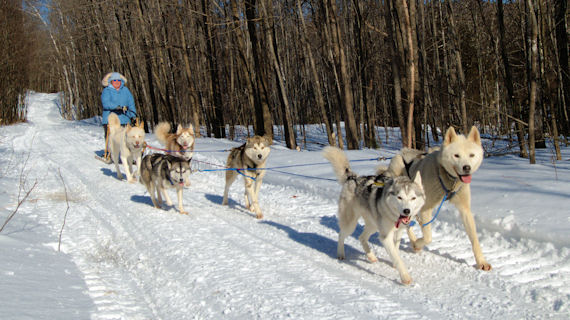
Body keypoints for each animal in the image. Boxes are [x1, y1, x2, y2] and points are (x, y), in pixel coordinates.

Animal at [322, 146, 424, 284]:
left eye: (413, 198)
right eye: (399, 197)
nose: (406, 211)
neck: (394, 216)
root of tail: (353, 178)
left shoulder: (398, 233)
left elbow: (396, 250)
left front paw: (394, 264)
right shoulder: (385, 237)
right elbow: (397, 257)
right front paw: (405, 277)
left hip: (373, 225)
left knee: (361, 237)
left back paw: (371, 256)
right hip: (351, 224)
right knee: (341, 235)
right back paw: (341, 254)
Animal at [390, 126, 488, 272]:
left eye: (471, 155)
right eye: (456, 155)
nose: (467, 168)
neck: (446, 177)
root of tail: (401, 153)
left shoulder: (464, 209)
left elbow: (474, 238)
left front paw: (481, 261)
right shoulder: (426, 208)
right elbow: (428, 237)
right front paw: (418, 244)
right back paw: (414, 242)